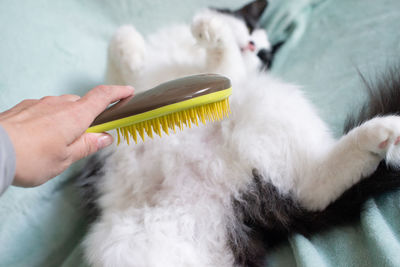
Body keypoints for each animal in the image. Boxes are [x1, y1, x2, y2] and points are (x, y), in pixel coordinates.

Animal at [76, 1, 400, 266]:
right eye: (250, 30)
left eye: (261, 53)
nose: (250, 46)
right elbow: (117, 73)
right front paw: (130, 48)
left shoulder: (226, 80)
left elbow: (221, 63)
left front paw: (209, 29)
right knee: (312, 191)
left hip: (269, 104)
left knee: (312, 189)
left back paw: (386, 131)